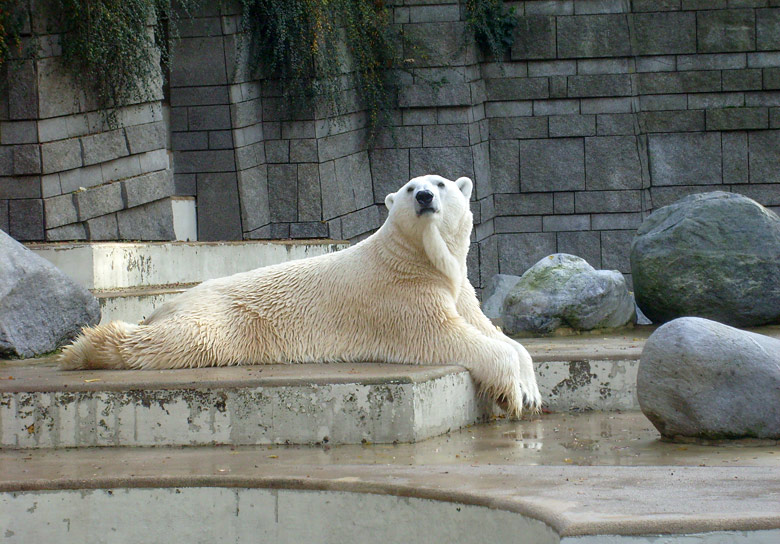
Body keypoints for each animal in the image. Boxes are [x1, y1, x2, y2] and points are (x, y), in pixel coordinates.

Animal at [61, 174, 540, 416]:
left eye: (440, 183)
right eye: (409, 188)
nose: (423, 196)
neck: (416, 256)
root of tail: (171, 302)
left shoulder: (458, 289)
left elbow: (495, 333)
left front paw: (531, 388)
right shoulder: (402, 295)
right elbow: (447, 336)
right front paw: (514, 393)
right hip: (227, 317)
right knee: (188, 340)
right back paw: (83, 348)